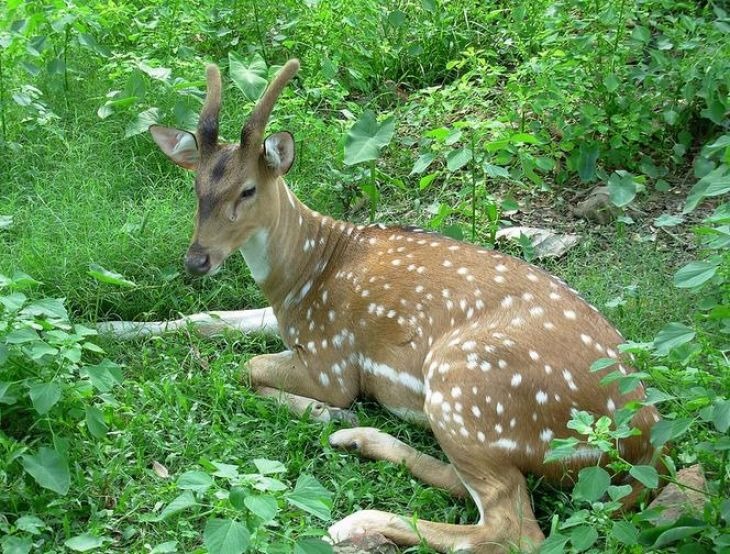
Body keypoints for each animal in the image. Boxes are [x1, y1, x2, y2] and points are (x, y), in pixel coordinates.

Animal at [145, 58, 656, 548]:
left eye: (248, 189)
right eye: (196, 189)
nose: (196, 260)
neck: (307, 271)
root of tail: (643, 441)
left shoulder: (332, 361)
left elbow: (246, 367)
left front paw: (329, 410)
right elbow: (205, 320)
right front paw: (130, 329)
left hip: (464, 389)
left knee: (513, 528)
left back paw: (352, 520)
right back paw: (354, 439)